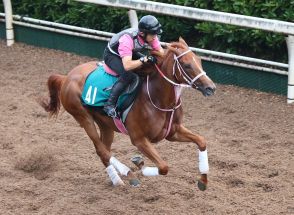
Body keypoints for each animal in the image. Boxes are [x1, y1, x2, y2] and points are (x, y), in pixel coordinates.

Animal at [39, 37, 216, 191]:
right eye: (186, 65)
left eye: (199, 61)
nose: (211, 88)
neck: (157, 98)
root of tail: (66, 77)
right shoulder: (139, 139)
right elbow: (163, 167)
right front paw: (139, 164)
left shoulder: (173, 132)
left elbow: (201, 141)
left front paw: (203, 181)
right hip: (83, 117)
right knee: (102, 150)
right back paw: (128, 175)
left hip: (105, 124)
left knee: (104, 152)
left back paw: (117, 179)